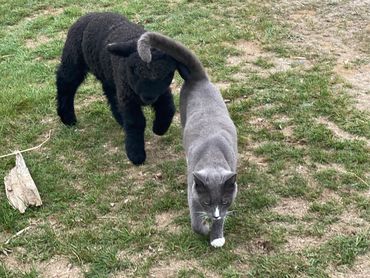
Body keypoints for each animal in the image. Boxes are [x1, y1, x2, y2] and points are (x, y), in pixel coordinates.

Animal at [57, 12, 178, 165]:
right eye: (134, 70)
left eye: (165, 73)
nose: (147, 97)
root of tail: (89, 15)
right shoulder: (127, 96)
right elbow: (136, 122)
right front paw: (136, 155)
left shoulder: (161, 92)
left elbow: (169, 108)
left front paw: (159, 128)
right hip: (73, 60)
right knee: (65, 84)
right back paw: (67, 117)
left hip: (108, 74)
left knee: (110, 93)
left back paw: (120, 119)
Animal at [137, 32, 238, 248]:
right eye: (207, 202)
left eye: (224, 202)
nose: (215, 215)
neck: (212, 158)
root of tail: (198, 78)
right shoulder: (193, 194)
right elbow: (195, 223)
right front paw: (206, 229)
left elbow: (223, 217)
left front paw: (216, 236)